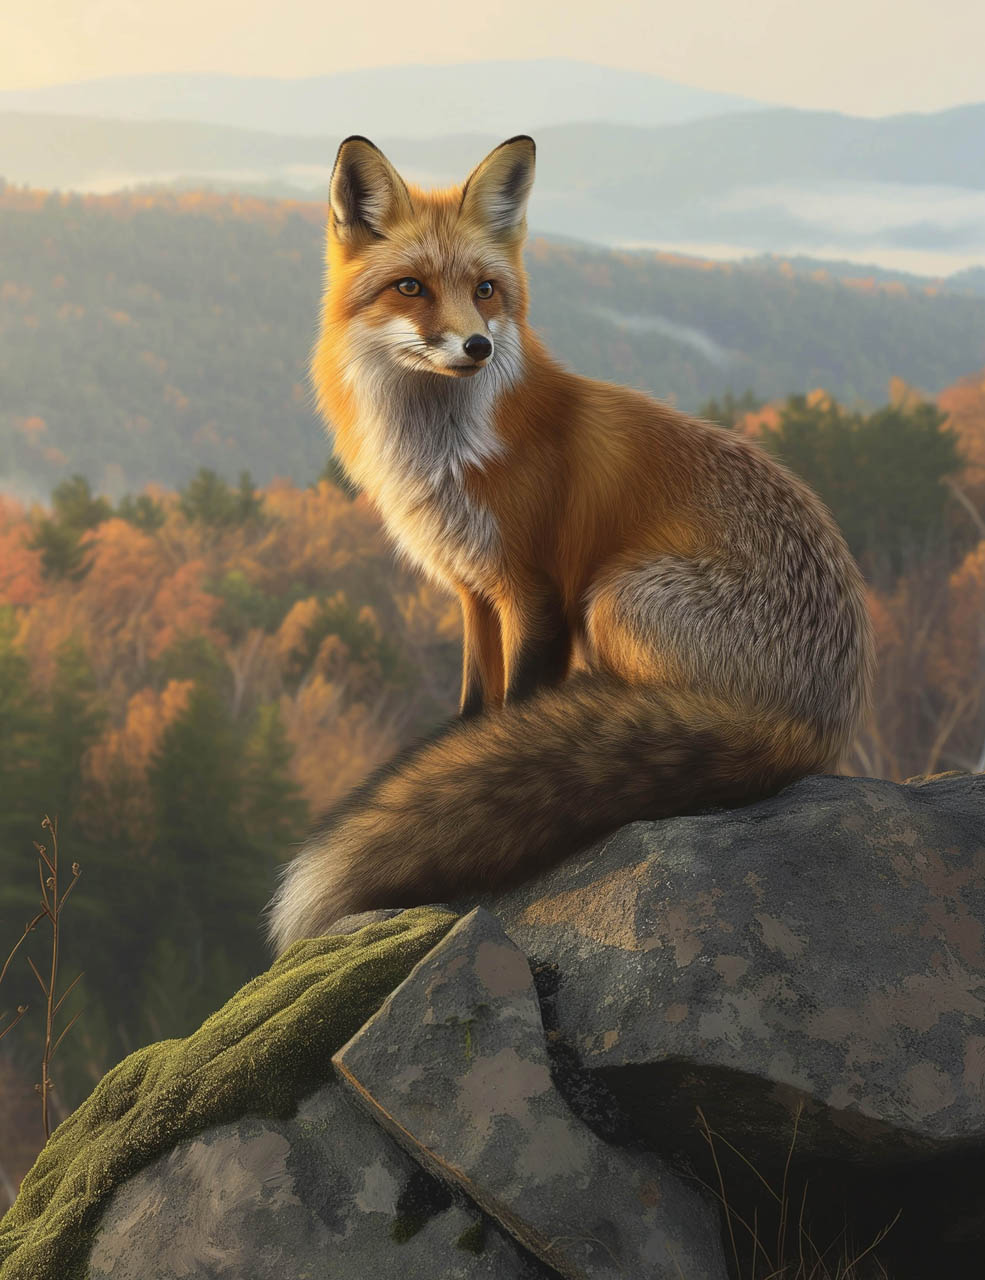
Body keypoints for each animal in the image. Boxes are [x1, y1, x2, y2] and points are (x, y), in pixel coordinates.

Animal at [265, 134, 874, 954]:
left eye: (486, 290)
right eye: (410, 288)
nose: (476, 346)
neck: (449, 456)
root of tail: (818, 726)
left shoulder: (537, 592)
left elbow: (514, 710)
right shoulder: (472, 590)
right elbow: (476, 710)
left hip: (613, 599)